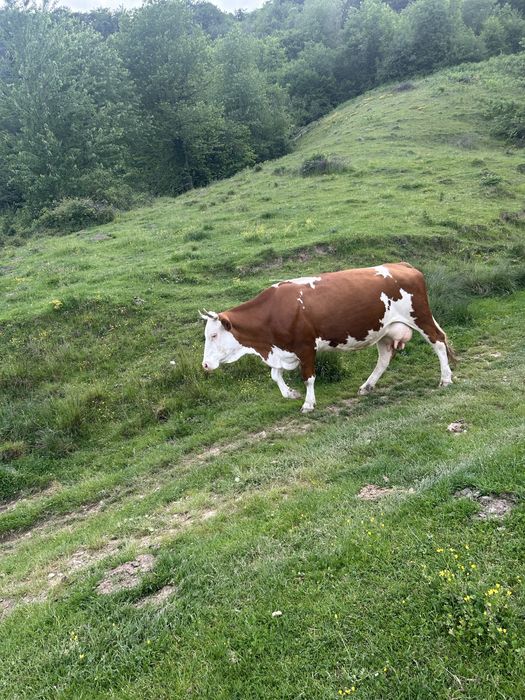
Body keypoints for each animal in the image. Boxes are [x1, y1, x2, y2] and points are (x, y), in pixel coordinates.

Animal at [200, 262, 455, 413]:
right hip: (384, 329)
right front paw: (289, 393)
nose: (205, 365)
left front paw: (308, 403)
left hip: (420, 316)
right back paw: (367, 385)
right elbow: (275, 375)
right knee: (384, 358)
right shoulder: (281, 349)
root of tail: (402, 265)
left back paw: (445, 378)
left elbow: (308, 378)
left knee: (438, 342)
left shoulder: (305, 347)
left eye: (213, 334)